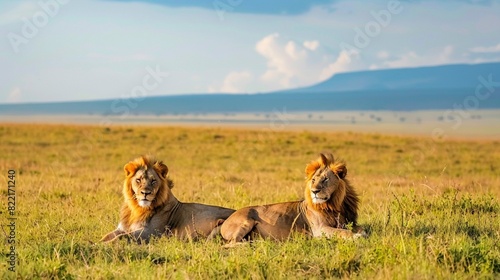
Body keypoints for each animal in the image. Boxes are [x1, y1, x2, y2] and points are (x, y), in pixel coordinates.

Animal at [101, 155, 236, 243]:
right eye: (138, 180)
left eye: (153, 181)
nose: (145, 193)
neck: (137, 209)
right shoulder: (121, 228)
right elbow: (107, 236)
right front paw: (97, 242)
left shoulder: (151, 232)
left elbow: (122, 237)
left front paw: (103, 246)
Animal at [221, 153, 366, 245]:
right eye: (313, 180)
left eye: (325, 179)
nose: (314, 191)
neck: (334, 205)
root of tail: (225, 220)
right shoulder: (319, 229)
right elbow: (343, 232)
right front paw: (356, 237)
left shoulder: (349, 221)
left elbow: (360, 228)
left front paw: (361, 233)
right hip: (245, 222)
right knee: (230, 244)